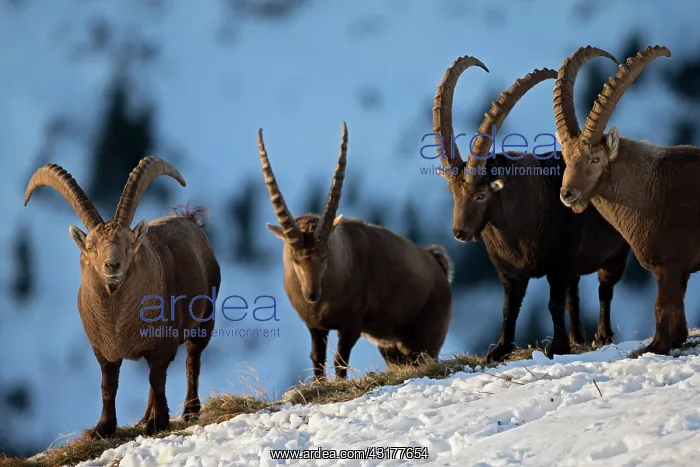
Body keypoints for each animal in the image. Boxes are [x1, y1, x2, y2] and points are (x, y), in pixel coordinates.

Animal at [24, 157, 221, 436]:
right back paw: (145, 416)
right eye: (91, 247)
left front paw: (159, 423)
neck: (117, 323)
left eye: (129, 245)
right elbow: (109, 385)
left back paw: (189, 411)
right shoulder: (103, 349)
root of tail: (189, 218)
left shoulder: (162, 344)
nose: (112, 265)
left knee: (191, 362)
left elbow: (157, 380)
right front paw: (103, 427)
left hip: (205, 320)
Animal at [258, 122, 453, 380]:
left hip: (426, 339)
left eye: (325, 255)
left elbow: (340, 361)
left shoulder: (352, 325)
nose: (311, 295)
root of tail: (437, 263)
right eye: (295, 259)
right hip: (391, 347)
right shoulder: (315, 326)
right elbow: (316, 358)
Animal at [433, 55, 630, 362]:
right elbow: (509, 308)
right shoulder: (510, 272)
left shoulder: (558, 263)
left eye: (481, 195)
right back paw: (577, 337)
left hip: (616, 253)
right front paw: (500, 349)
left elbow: (553, 303)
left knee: (604, 290)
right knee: (575, 295)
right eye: (454, 192)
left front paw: (557, 347)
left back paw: (602, 335)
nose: (459, 232)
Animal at [555, 45, 697, 356]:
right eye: (566, 158)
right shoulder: (678, 272)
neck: (652, 189)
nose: (567, 194)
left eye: (595, 159)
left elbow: (661, 308)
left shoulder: (669, 265)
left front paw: (654, 347)